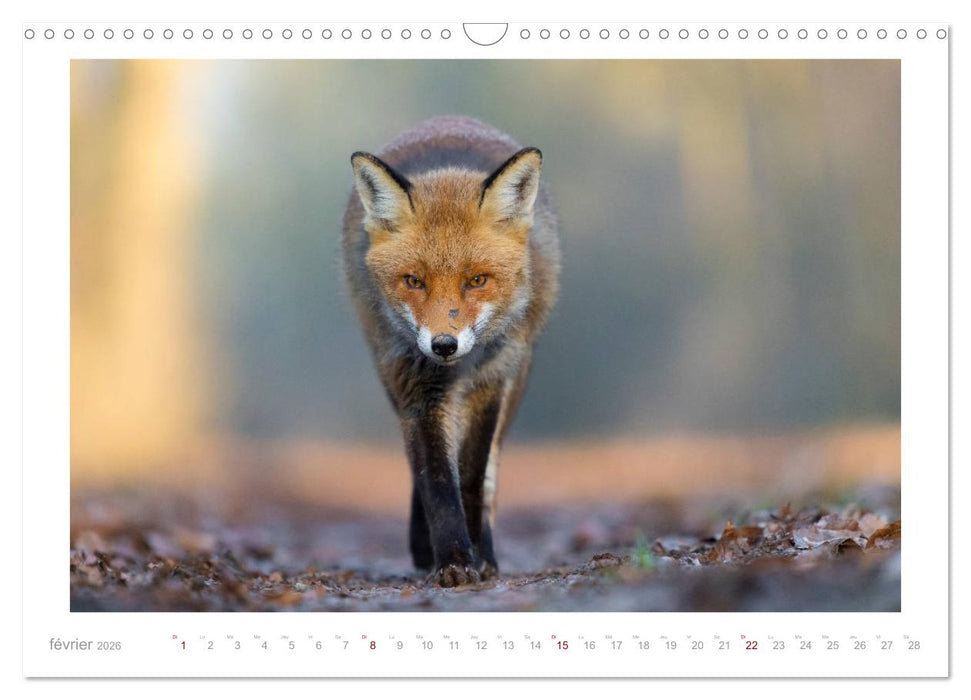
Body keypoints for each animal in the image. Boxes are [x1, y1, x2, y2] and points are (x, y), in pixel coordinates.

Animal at [341, 116, 560, 587]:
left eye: (477, 280)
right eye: (414, 281)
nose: (444, 344)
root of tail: (450, 121)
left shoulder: (491, 384)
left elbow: (473, 477)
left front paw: (477, 555)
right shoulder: (415, 386)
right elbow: (438, 480)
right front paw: (453, 560)